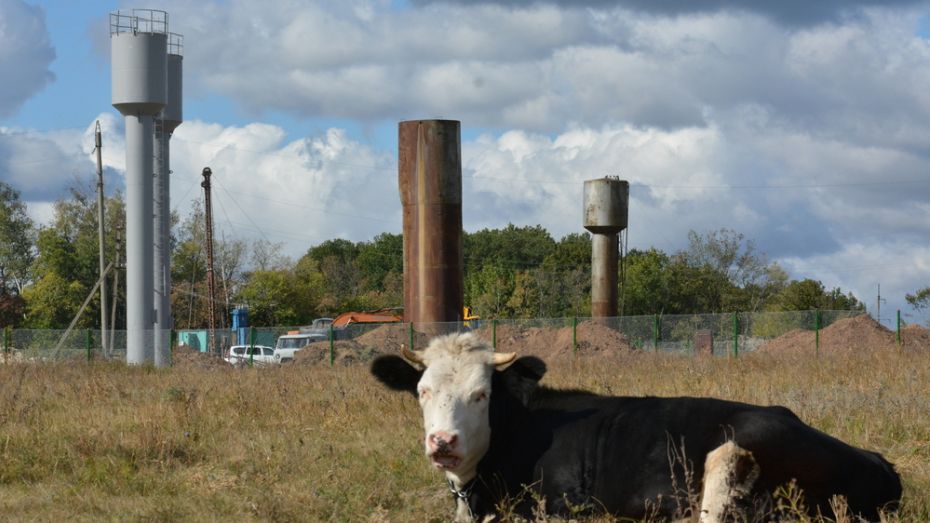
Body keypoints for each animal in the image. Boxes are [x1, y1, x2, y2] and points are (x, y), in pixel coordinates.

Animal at [370, 334, 900, 520]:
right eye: (422, 392)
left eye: (482, 394)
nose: (442, 442)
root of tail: (880, 463)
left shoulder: (564, 505)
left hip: (734, 449)